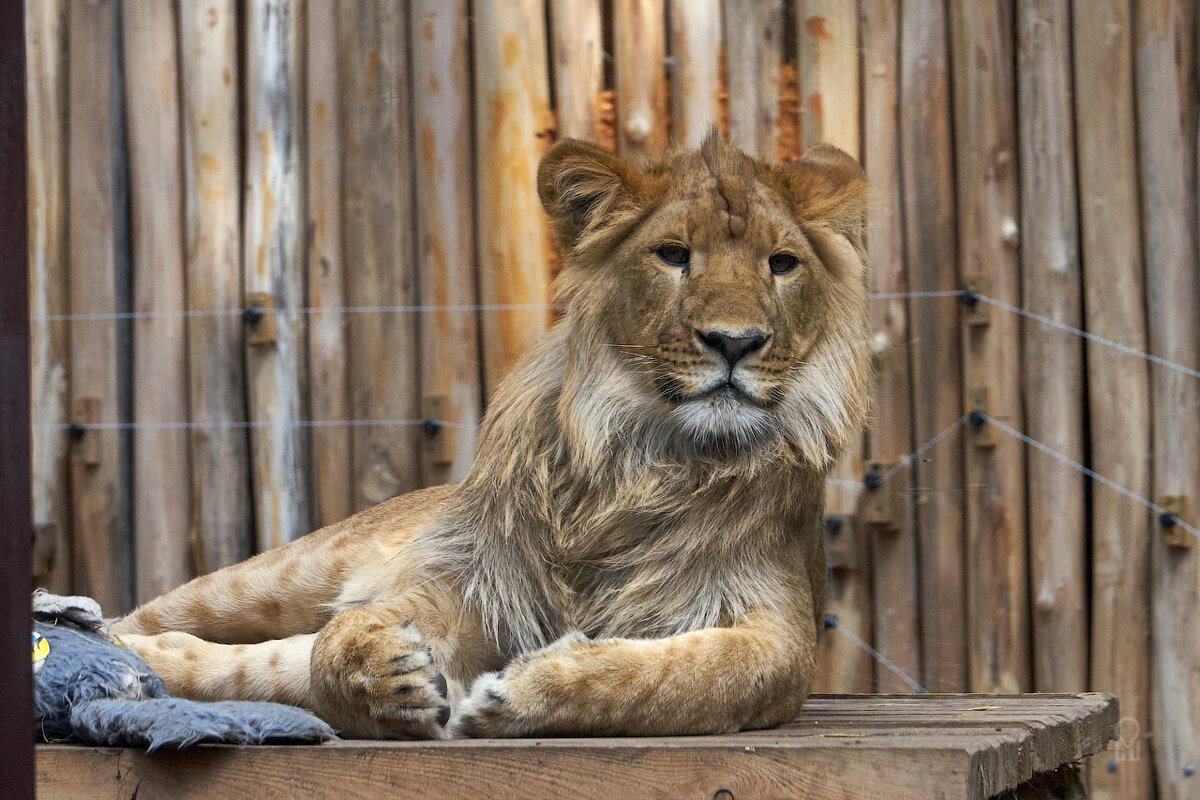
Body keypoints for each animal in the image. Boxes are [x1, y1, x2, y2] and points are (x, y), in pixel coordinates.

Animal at [112, 131, 868, 738]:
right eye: (674, 254)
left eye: (782, 264)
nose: (735, 343)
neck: (647, 459)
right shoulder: (473, 579)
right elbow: (350, 634)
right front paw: (376, 665)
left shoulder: (781, 636)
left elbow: (686, 677)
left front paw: (529, 691)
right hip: (284, 572)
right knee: (158, 615)